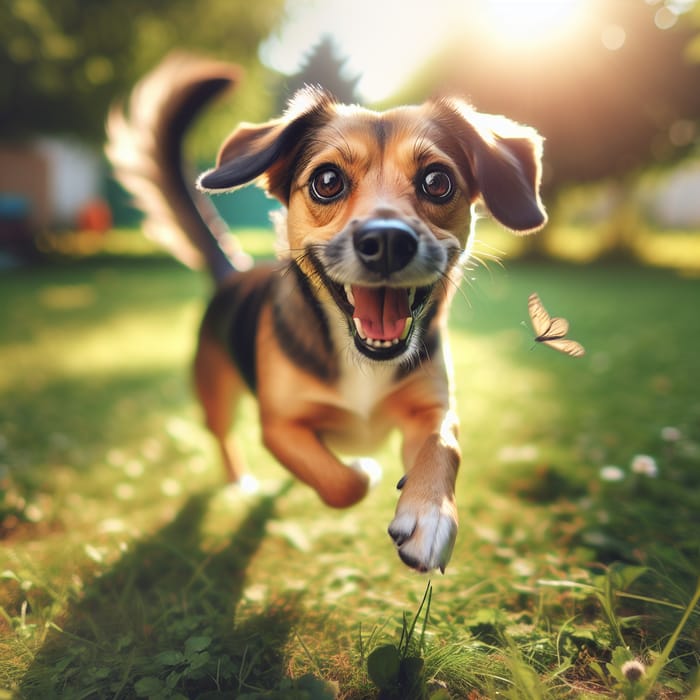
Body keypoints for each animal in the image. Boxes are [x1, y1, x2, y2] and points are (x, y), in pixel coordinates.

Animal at [108, 52, 548, 572]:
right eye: (327, 181)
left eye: (437, 182)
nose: (388, 241)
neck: (360, 359)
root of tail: (233, 272)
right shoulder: (279, 426)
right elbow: (342, 482)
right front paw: (362, 467)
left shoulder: (433, 407)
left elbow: (445, 445)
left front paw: (430, 515)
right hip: (215, 394)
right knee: (223, 436)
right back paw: (242, 481)